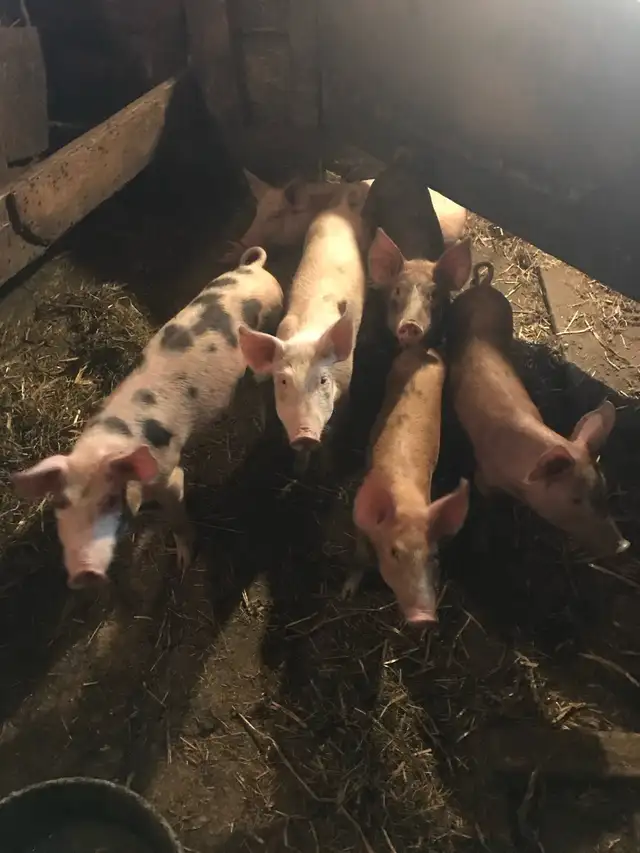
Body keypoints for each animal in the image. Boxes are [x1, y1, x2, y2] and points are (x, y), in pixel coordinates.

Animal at [12, 247, 284, 589]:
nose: (84, 573)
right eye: (62, 504)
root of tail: (256, 268)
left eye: (110, 501)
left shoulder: (170, 476)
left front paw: (183, 563)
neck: (107, 444)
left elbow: (177, 515)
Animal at [349, 346, 470, 624]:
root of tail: (424, 349)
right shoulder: (358, 519)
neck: (406, 501)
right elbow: (359, 557)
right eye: (395, 552)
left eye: (433, 556)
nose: (423, 617)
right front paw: (346, 593)